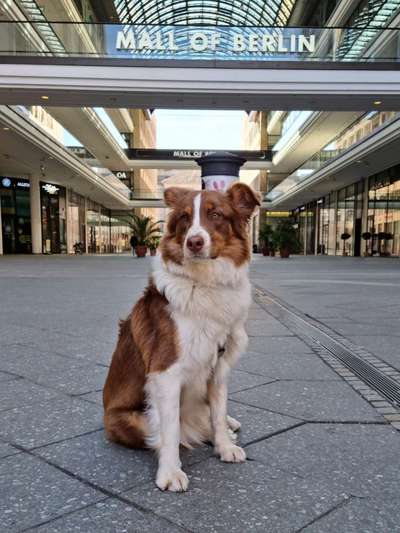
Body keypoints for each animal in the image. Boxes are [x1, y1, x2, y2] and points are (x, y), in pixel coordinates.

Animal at [103, 182, 260, 490]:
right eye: (185, 217)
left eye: (215, 215)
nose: (194, 242)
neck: (206, 283)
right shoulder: (166, 372)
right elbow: (171, 430)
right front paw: (170, 473)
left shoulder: (219, 366)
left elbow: (218, 411)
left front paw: (224, 447)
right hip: (131, 419)